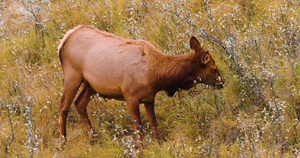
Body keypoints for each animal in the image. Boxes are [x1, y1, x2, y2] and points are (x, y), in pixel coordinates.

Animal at [58, 25, 223, 149]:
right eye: (214, 68)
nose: (221, 83)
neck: (156, 76)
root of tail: (63, 41)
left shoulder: (149, 98)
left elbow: (153, 122)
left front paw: (158, 144)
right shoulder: (130, 96)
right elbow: (138, 126)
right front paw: (140, 150)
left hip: (90, 85)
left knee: (79, 103)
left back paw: (93, 137)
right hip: (73, 75)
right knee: (63, 106)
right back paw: (63, 143)